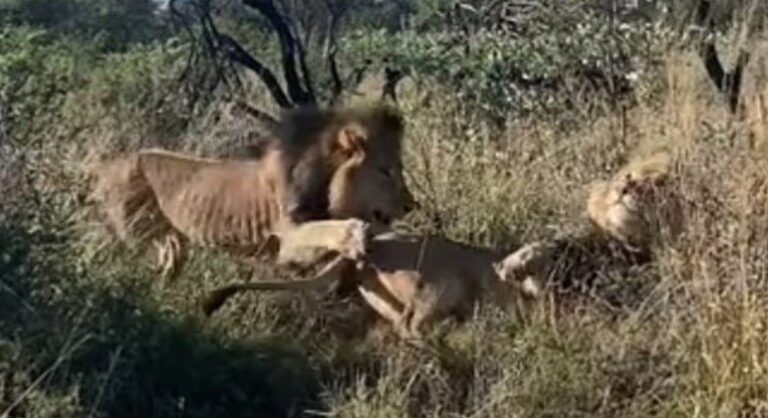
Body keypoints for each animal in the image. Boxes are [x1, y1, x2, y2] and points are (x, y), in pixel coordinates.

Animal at [90, 104, 416, 281]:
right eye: (385, 171)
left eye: (399, 168)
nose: (411, 206)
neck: (327, 182)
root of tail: (104, 167)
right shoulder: (287, 238)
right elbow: (326, 229)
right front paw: (356, 235)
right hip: (139, 235)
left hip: (170, 241)